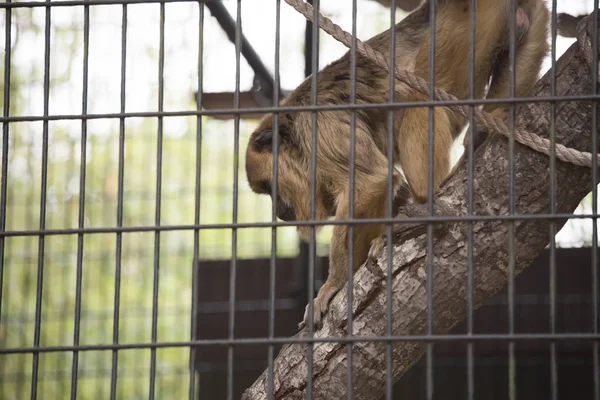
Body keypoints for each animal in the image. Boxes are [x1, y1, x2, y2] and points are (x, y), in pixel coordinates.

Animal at [246, 0, 552, 332]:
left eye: (269, 189)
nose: (277, 210)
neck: (293, 128)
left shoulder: (319, 127)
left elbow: (370, 182)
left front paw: (333, 285)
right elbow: (384, 187)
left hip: (461, 30)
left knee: (420, 99)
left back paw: (427, 203)